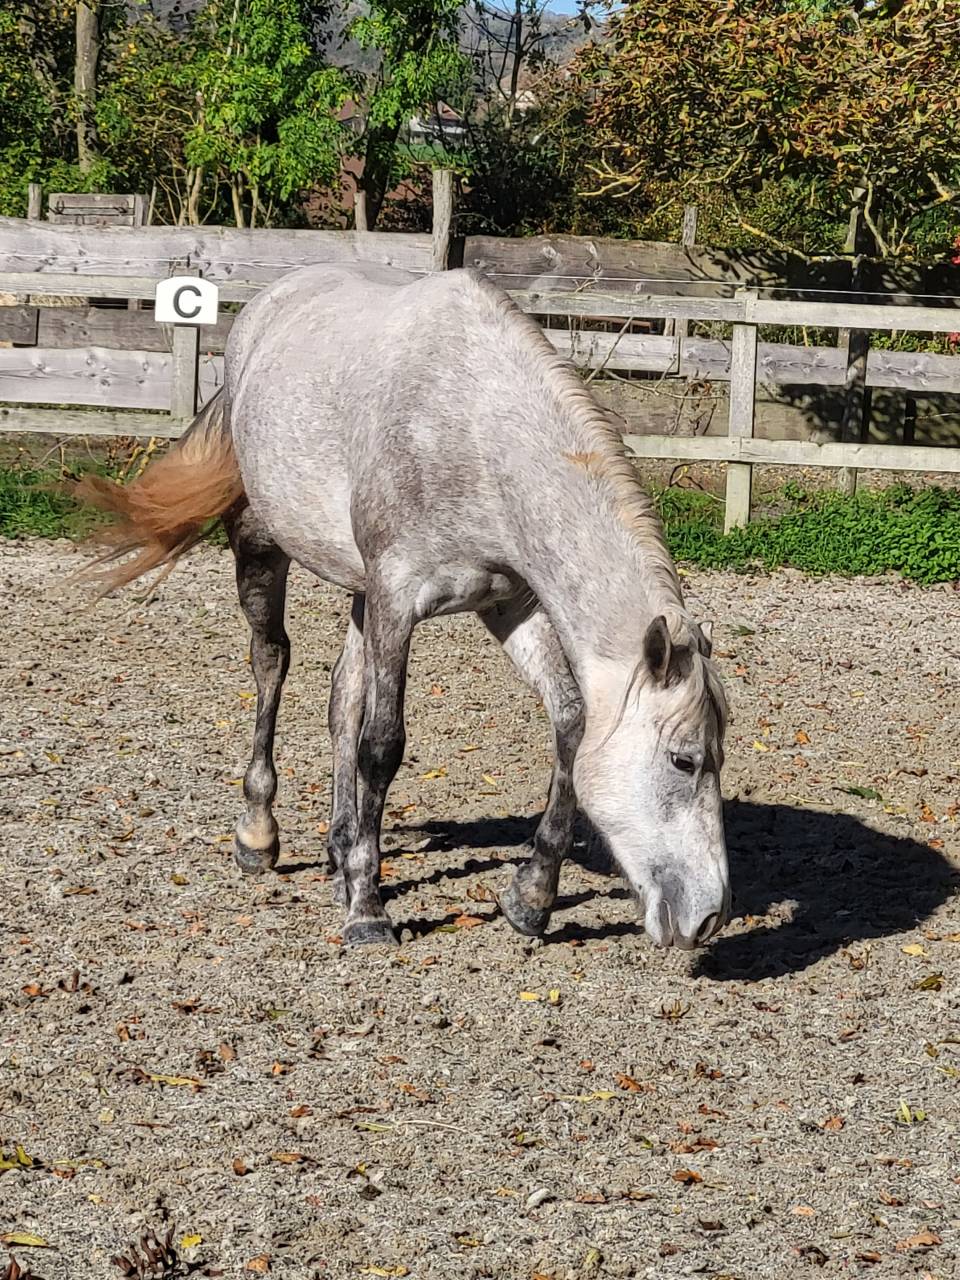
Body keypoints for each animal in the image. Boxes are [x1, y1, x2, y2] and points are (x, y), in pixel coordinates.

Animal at [77, 263, 730, 950]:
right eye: (683, 760)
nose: (711, 916)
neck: (474, 433)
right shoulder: (397, 600)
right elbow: (382, 745)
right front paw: (368, 909)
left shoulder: (509, 605)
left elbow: (571, 724)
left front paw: (530, 898)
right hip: (264, 546)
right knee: (272, 662)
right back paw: (260, 835)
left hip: (359, 590)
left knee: (341, 697)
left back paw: (338, 851)